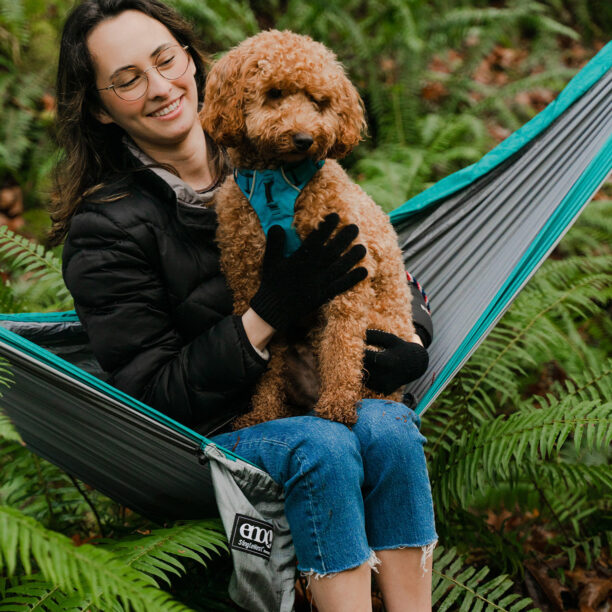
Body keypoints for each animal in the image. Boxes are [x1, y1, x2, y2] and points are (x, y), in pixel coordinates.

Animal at [202, 29, 416, 430]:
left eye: (320, 101)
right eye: (274, 93)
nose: (304, 138)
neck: (277, 181)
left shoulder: (348, 272)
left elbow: (342, 344)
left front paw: (337, 405)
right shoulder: (251, 281)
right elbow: (266, 358)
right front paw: (262, 413)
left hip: (380, 331)